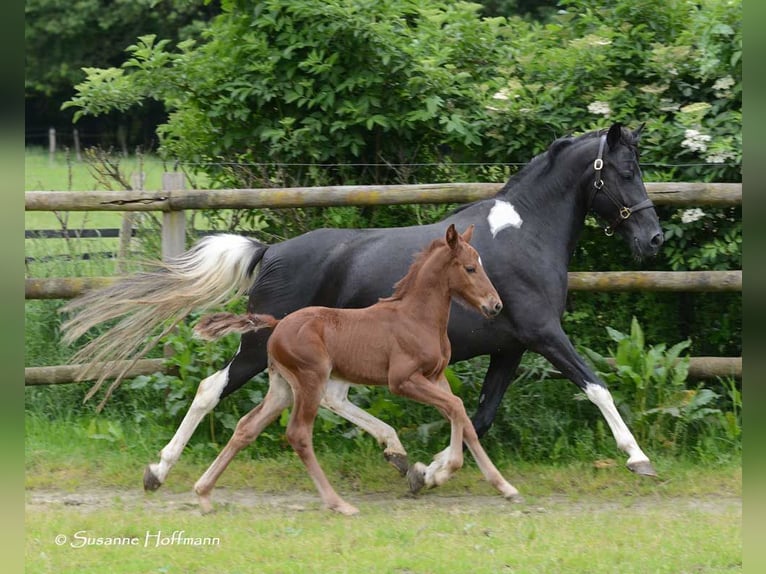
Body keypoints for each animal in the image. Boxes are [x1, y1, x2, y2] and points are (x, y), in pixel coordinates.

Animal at [192, 225, 520, 516]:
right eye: (470, 268)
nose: (495, 305)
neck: (416, 317)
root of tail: (278, 323)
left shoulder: (436, 378)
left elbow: (463, 416)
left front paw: (504, 486)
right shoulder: (402, 381)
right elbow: (456, 407)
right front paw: (438, 471)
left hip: (283, 387)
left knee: (247, 427)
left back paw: (204, 493)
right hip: (310, 381)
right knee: (298, 434)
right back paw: (339, 504)